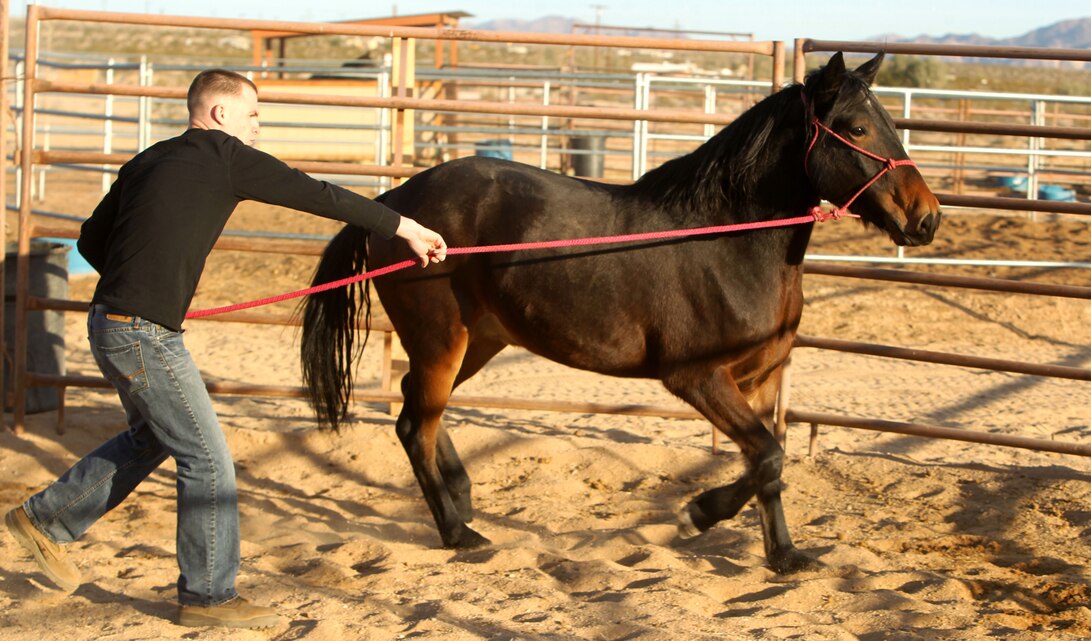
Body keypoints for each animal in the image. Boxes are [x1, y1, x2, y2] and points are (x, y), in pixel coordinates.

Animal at [300, 52, 941, 574]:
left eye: (889, 124)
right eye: (857, 128)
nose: (927, 217)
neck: (727, 241)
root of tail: (391, 203)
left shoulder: (760, 379)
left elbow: (770, 467)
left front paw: (784, 557)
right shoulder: (697, 377)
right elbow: (766, 456)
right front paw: (696, 514)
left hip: (478, 340)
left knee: (418, 407)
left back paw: (461, 492)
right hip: (442, 340)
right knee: (415, 425)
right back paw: (460, 534)